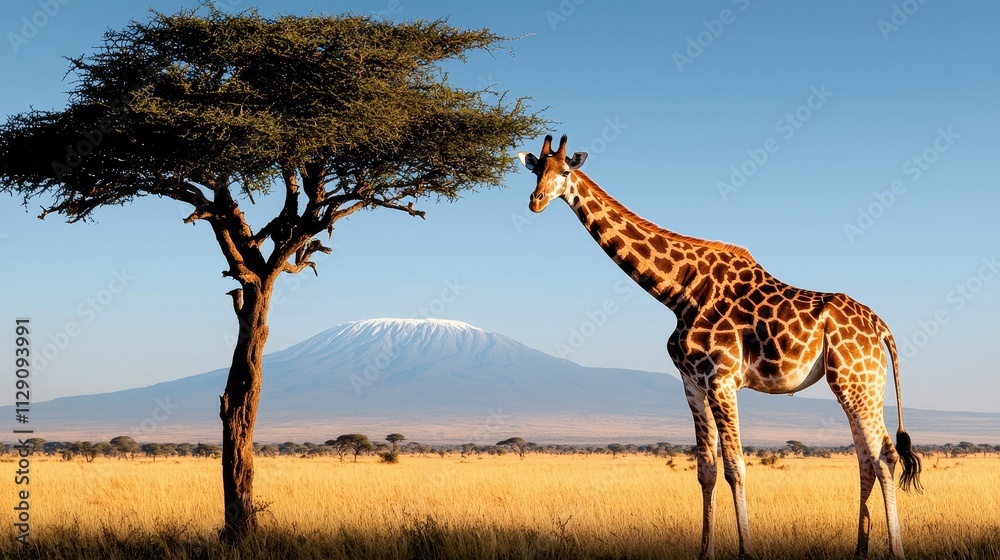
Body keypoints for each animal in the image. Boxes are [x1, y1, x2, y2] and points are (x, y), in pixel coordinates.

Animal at [518, 135, 922, 560]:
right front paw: (704, 551)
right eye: (535, 169)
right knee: (865, 458)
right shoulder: (692, 383)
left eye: (565, 171)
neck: (679, 292)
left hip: (855, 381)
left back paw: (896, 550)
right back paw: (860, 549)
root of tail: (881, 327)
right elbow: (706, 470)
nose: (536, 200)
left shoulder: (721, 379)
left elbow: (736, 467)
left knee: (884, 455)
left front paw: (745, 551)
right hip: (860, 384)